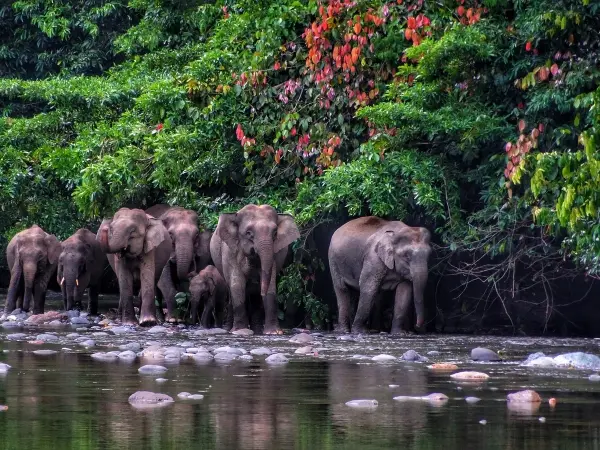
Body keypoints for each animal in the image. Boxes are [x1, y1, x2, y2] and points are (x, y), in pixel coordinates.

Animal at [211, 204, 300, 334]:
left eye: (275, 233)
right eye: (248, 233)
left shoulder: (274, 255)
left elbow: (271, 285)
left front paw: (274, 333)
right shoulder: (230, 252)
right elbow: (237, 285)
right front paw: (240, 331)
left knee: (254, 296)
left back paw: (257, 330)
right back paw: (228, 329)